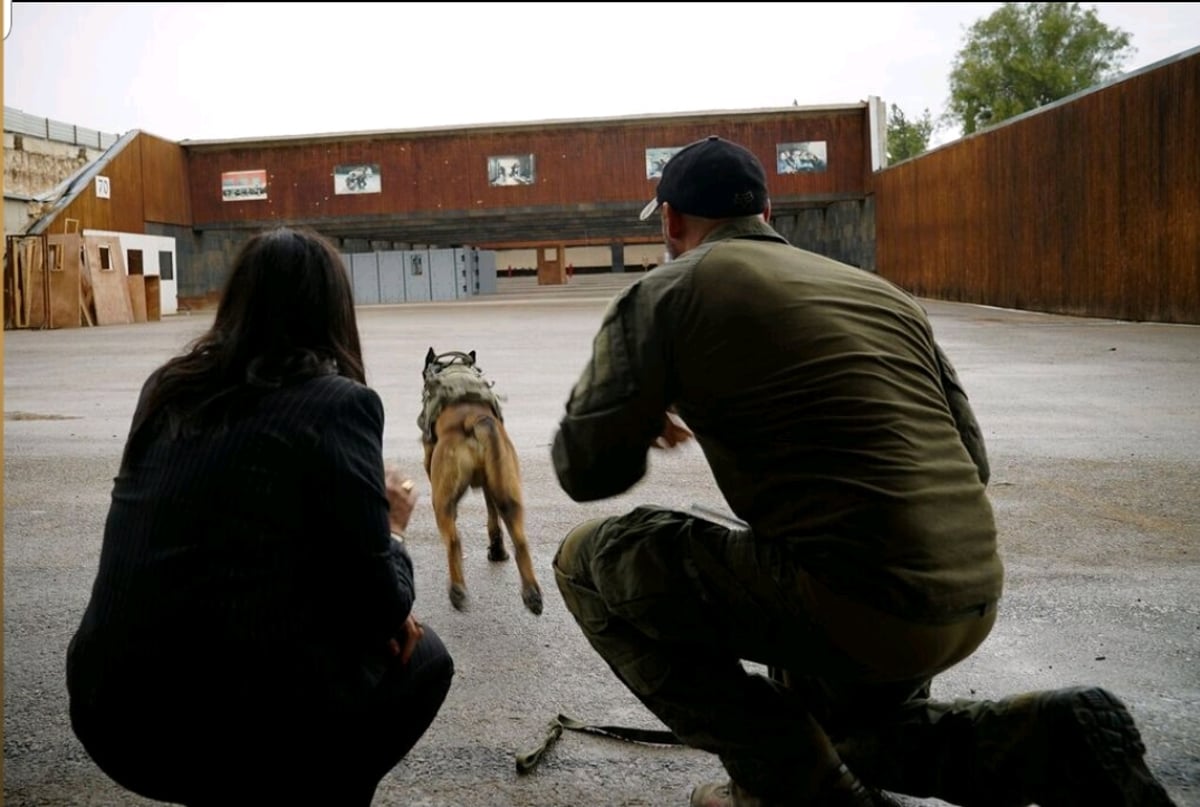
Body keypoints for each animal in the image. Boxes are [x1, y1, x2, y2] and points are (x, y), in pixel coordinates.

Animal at [415, 348, 542, 619]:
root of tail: (476, 419)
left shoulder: (429, 455)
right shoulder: (489, 486)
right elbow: (492, 515)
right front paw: (496, 549)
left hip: (441, 499)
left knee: (453, 540)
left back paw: (457, 591)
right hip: (508, 492)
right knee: (521, 540)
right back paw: (532, 595)